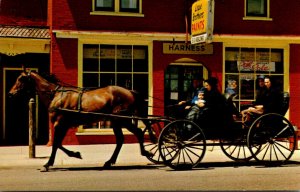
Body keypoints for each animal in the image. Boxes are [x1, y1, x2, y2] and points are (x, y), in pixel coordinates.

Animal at [7, 70, 152, 171]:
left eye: (20, 79)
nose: (10, 93)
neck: (55, 95)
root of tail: (130, 91)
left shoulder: (60, 124)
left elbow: (56, 144)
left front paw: (48, 164)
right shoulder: (63, 125)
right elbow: (58, 144)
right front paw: (75, 154)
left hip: (121, 120)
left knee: (138, 133)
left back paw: (145, 152)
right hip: (117, 121)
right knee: (122, 139)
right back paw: (109, 161)